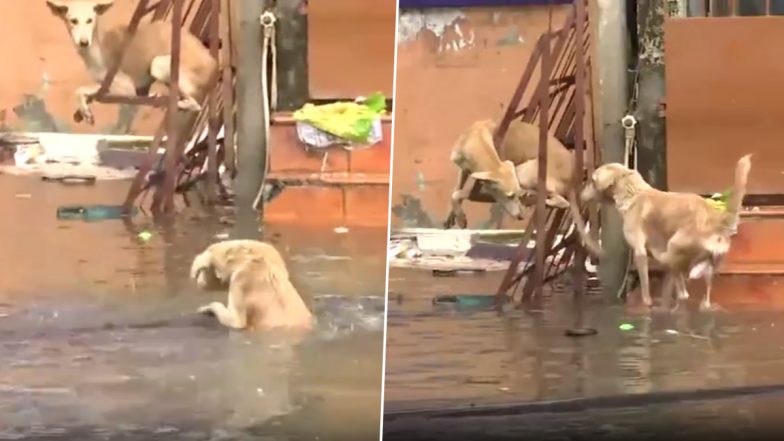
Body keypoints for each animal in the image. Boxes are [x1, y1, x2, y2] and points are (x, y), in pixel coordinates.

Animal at [45, 0, 217, 124]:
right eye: (73, 20)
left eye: (90, 20)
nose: (84, 42)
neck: (99, 52)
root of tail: (214, 65)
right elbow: (80, 91)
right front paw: (84, 111)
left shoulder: (124, 88)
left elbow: (82, 89)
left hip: (159, 65)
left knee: (194, 104)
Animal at [444, 118, 604, 260]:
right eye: (509, 196)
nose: (521, 216)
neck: (476, 140)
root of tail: (573, 181)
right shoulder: (464, 172)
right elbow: (456, 189)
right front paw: (453, 217)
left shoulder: (482, 192)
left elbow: (456, 194)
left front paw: (460, 217)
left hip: (524, 172)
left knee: (561, 201)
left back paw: (538, 199)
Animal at [580, 155, 752, 310]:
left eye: (592, 181)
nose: (581, 195)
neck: (633, 193)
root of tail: (715, 219)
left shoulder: (640, 252)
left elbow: (645, 287)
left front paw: (647, 302)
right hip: (706, 268)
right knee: (696, 292)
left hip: (674, 248)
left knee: (681, 290)